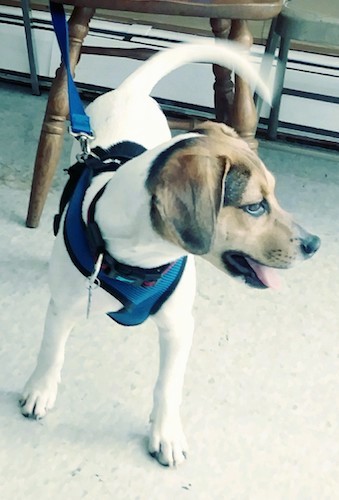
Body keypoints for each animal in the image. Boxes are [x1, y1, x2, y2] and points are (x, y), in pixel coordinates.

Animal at [20, 41, 322, 466]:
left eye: (273, 197)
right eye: (254, 207)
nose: (315, 244)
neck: (139, 260)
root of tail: (131, 91)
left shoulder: (179, 326)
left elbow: (167, 386)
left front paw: (165, 434)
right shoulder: (63, 309)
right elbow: (52, 352)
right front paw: (40, 390)